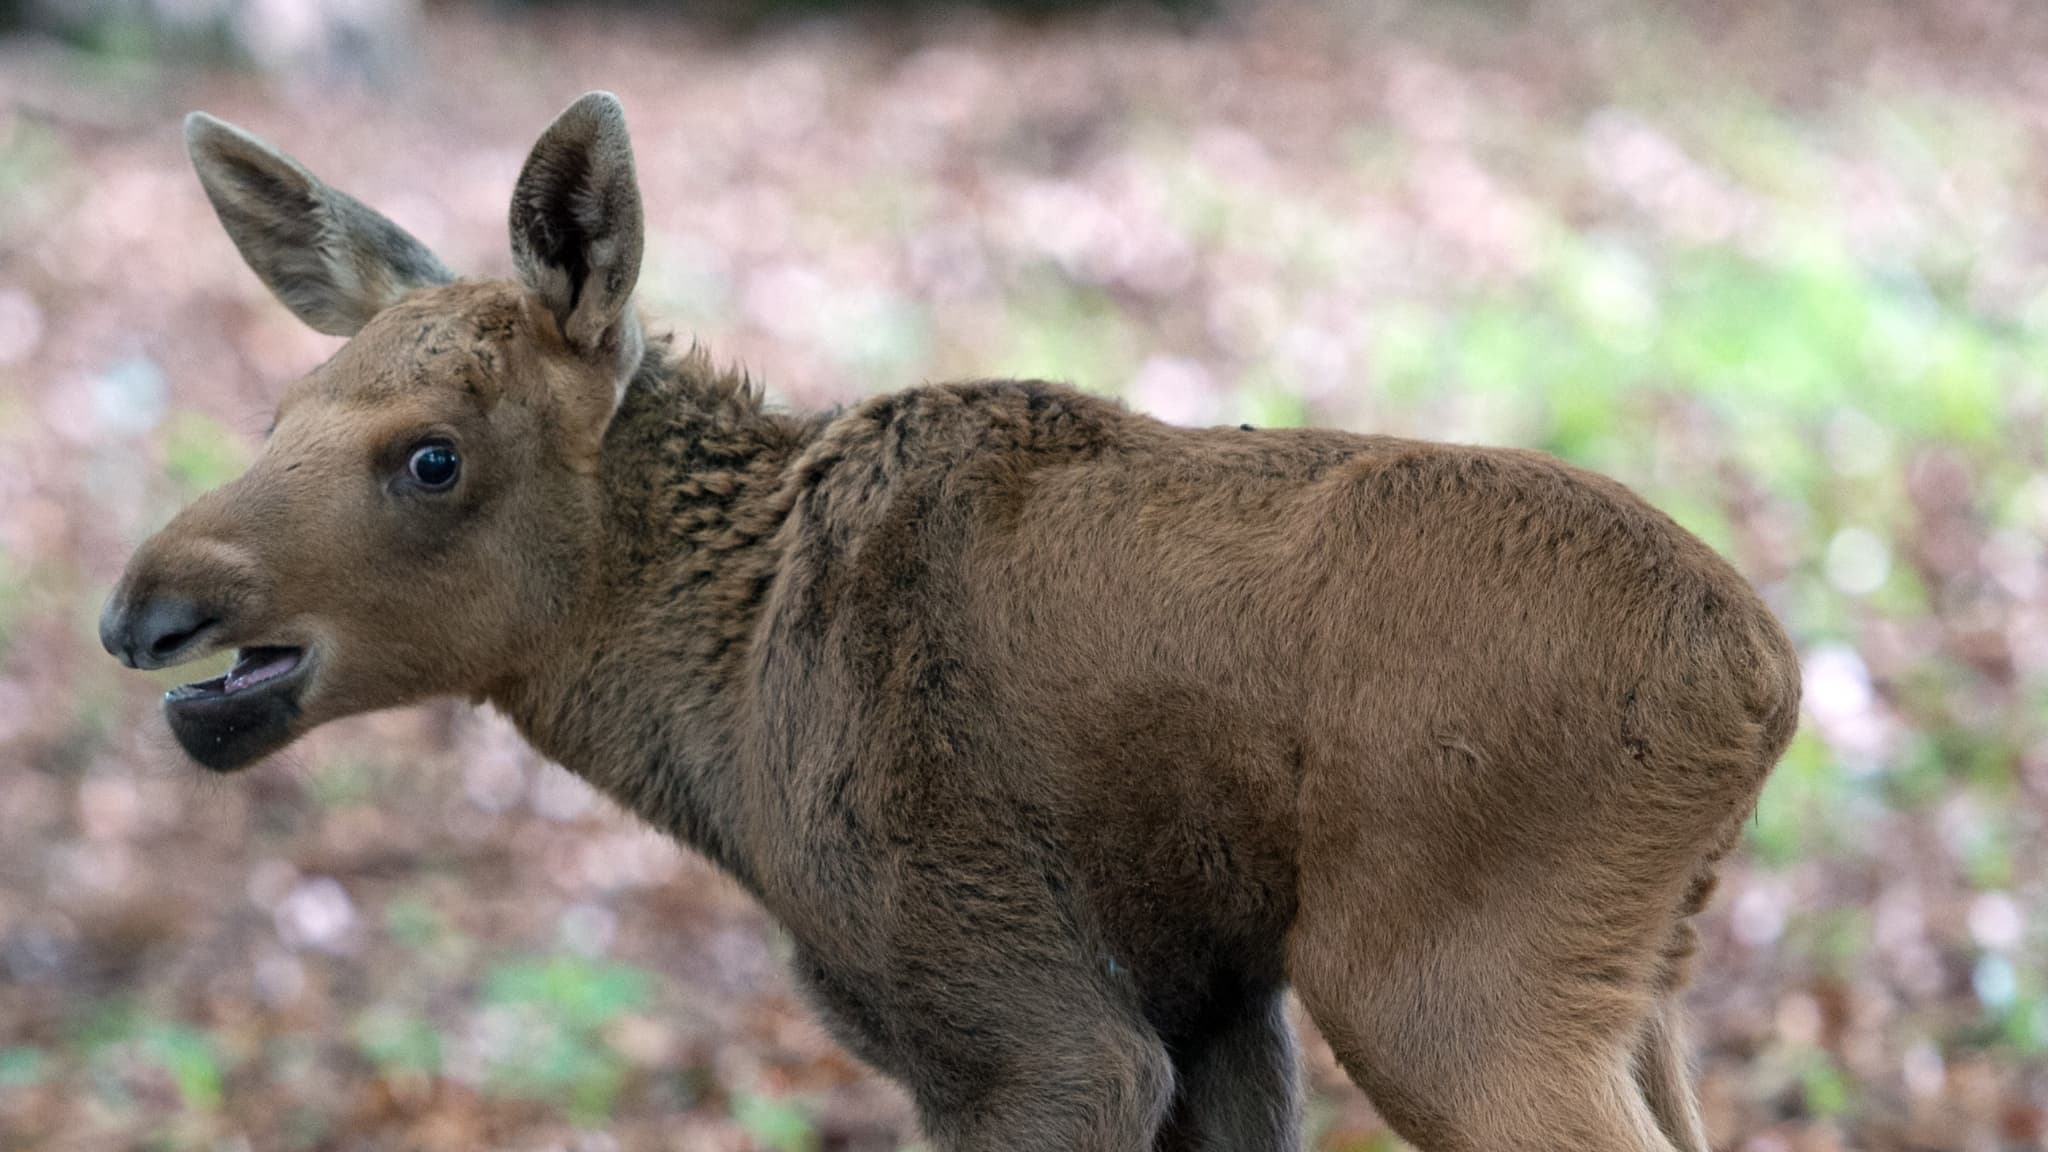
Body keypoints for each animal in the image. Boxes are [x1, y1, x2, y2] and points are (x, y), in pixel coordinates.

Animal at [103, 94, 1802, 1139]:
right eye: (277, 410)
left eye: (431, 456)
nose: (142, 610)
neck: (721, 718)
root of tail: (1767, 679)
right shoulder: (1212, 1014)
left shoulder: (1025, 1022)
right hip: (1635, 989)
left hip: (1451, 982)